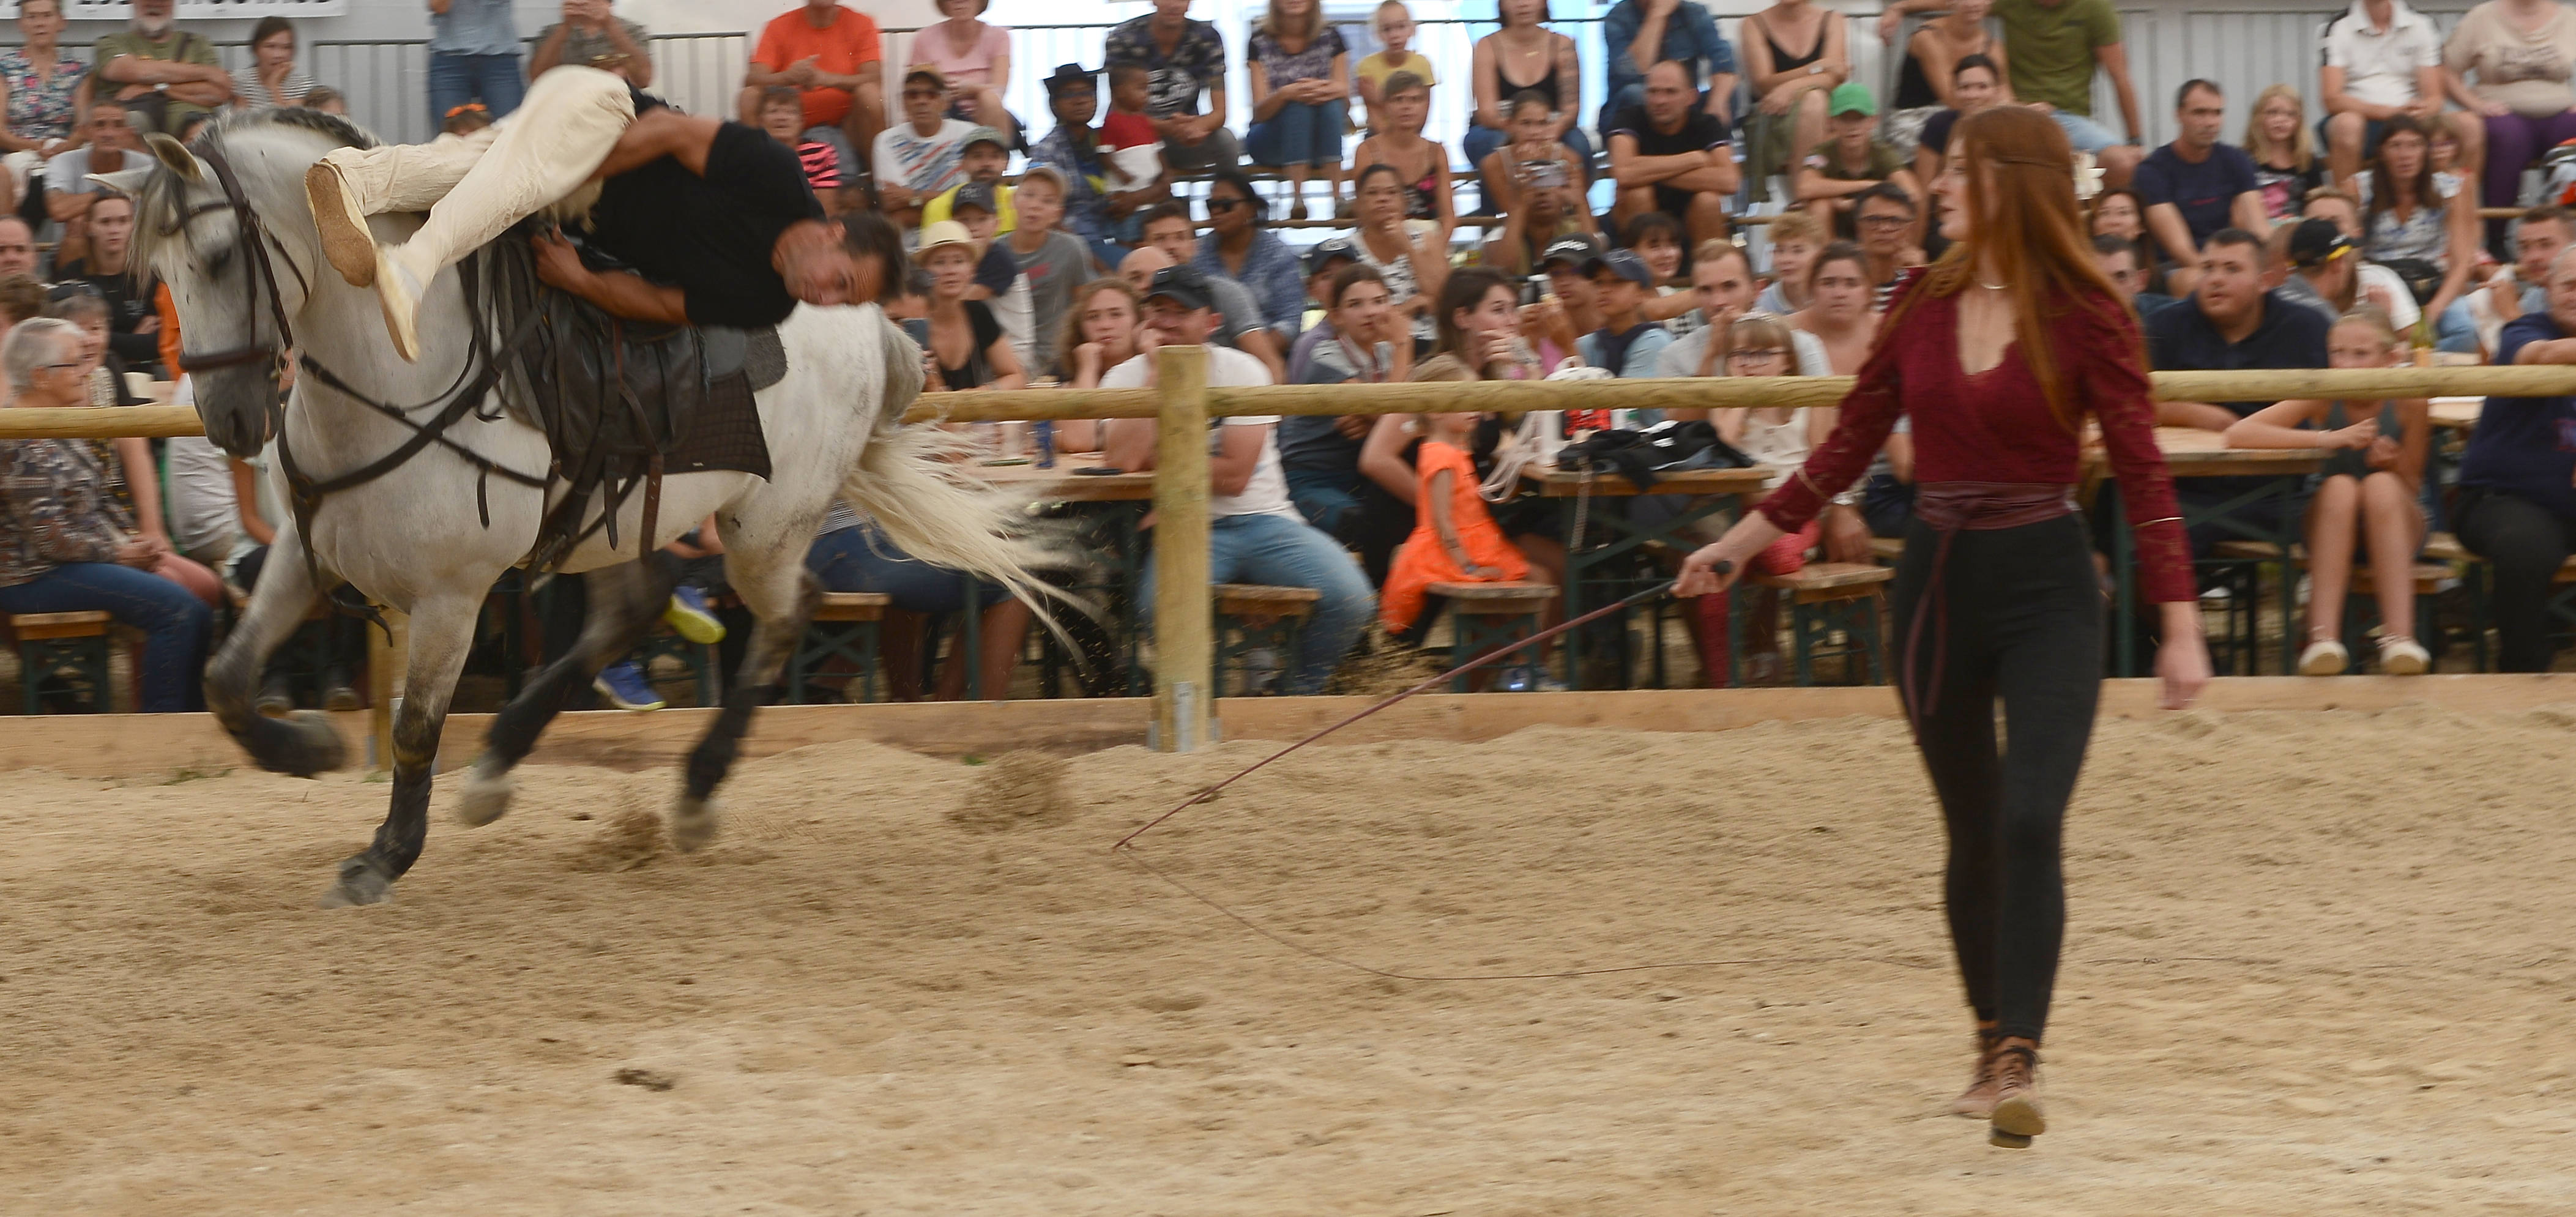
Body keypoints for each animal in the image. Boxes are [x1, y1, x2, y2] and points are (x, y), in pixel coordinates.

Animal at [100, 111, 1046, 902]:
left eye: (218, 258)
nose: (229, 420)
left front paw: (383, 856)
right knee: (637, 607)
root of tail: (872, 327)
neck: (398, 363)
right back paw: (497, 769)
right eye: (162, 274)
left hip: (764, 529)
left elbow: (413, 730)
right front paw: (310, 748)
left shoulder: (451, 598)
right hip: (617, 517)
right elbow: (226, 683)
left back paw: (696, 792)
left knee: (785, 617)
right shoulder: (306, 553)